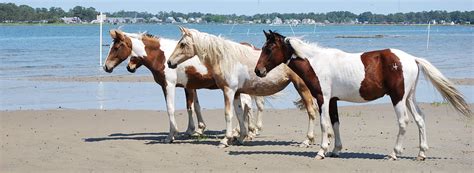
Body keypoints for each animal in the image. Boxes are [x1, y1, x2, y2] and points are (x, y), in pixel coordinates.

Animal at [103, 29, 264, 143]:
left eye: (116, 47)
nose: (106, 67)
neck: (162, 57)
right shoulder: (188, 86)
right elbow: (193, 107)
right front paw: (194, 130)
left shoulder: (169, 85)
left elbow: (171, 108)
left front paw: (171, 135)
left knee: (247, 106)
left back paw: (244, 132)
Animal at [166, 26, 318, 147]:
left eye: (182, 44)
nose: (169, 62)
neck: (226, 59)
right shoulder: (237, 93)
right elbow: (239, 113)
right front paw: (241, 137)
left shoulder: (228, 91)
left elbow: (228, 114)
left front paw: (225, 140)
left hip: (302, 88)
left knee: (311, 112)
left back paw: (307, 140)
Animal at [256, 30, 470, 161]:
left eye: (269, 48)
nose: (258, 71)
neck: (317, 62)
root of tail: (412, 59)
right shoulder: (333, 101)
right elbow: (335, 123)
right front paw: (336, 150)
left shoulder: (323, 98)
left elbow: (324, 124)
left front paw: (322, 151)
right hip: (409, 98)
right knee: (420, 119)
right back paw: (421, 153)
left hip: (398, 98)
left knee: (404, 122)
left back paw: (393, 154)